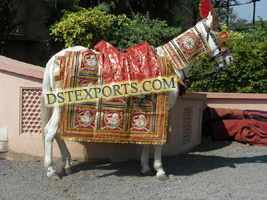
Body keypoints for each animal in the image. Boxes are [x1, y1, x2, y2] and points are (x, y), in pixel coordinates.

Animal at [40, 12, 233, 181]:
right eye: (219, 31)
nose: (229, 59)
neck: (170, 63)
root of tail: (55, 58)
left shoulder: (151, 110)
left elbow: (148, 138)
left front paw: (146, 167)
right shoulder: (162, 109)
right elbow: (158, 142)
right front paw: (160, 170)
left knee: (57, 133)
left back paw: (66, 164)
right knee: (50, 131)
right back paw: (51, 171)